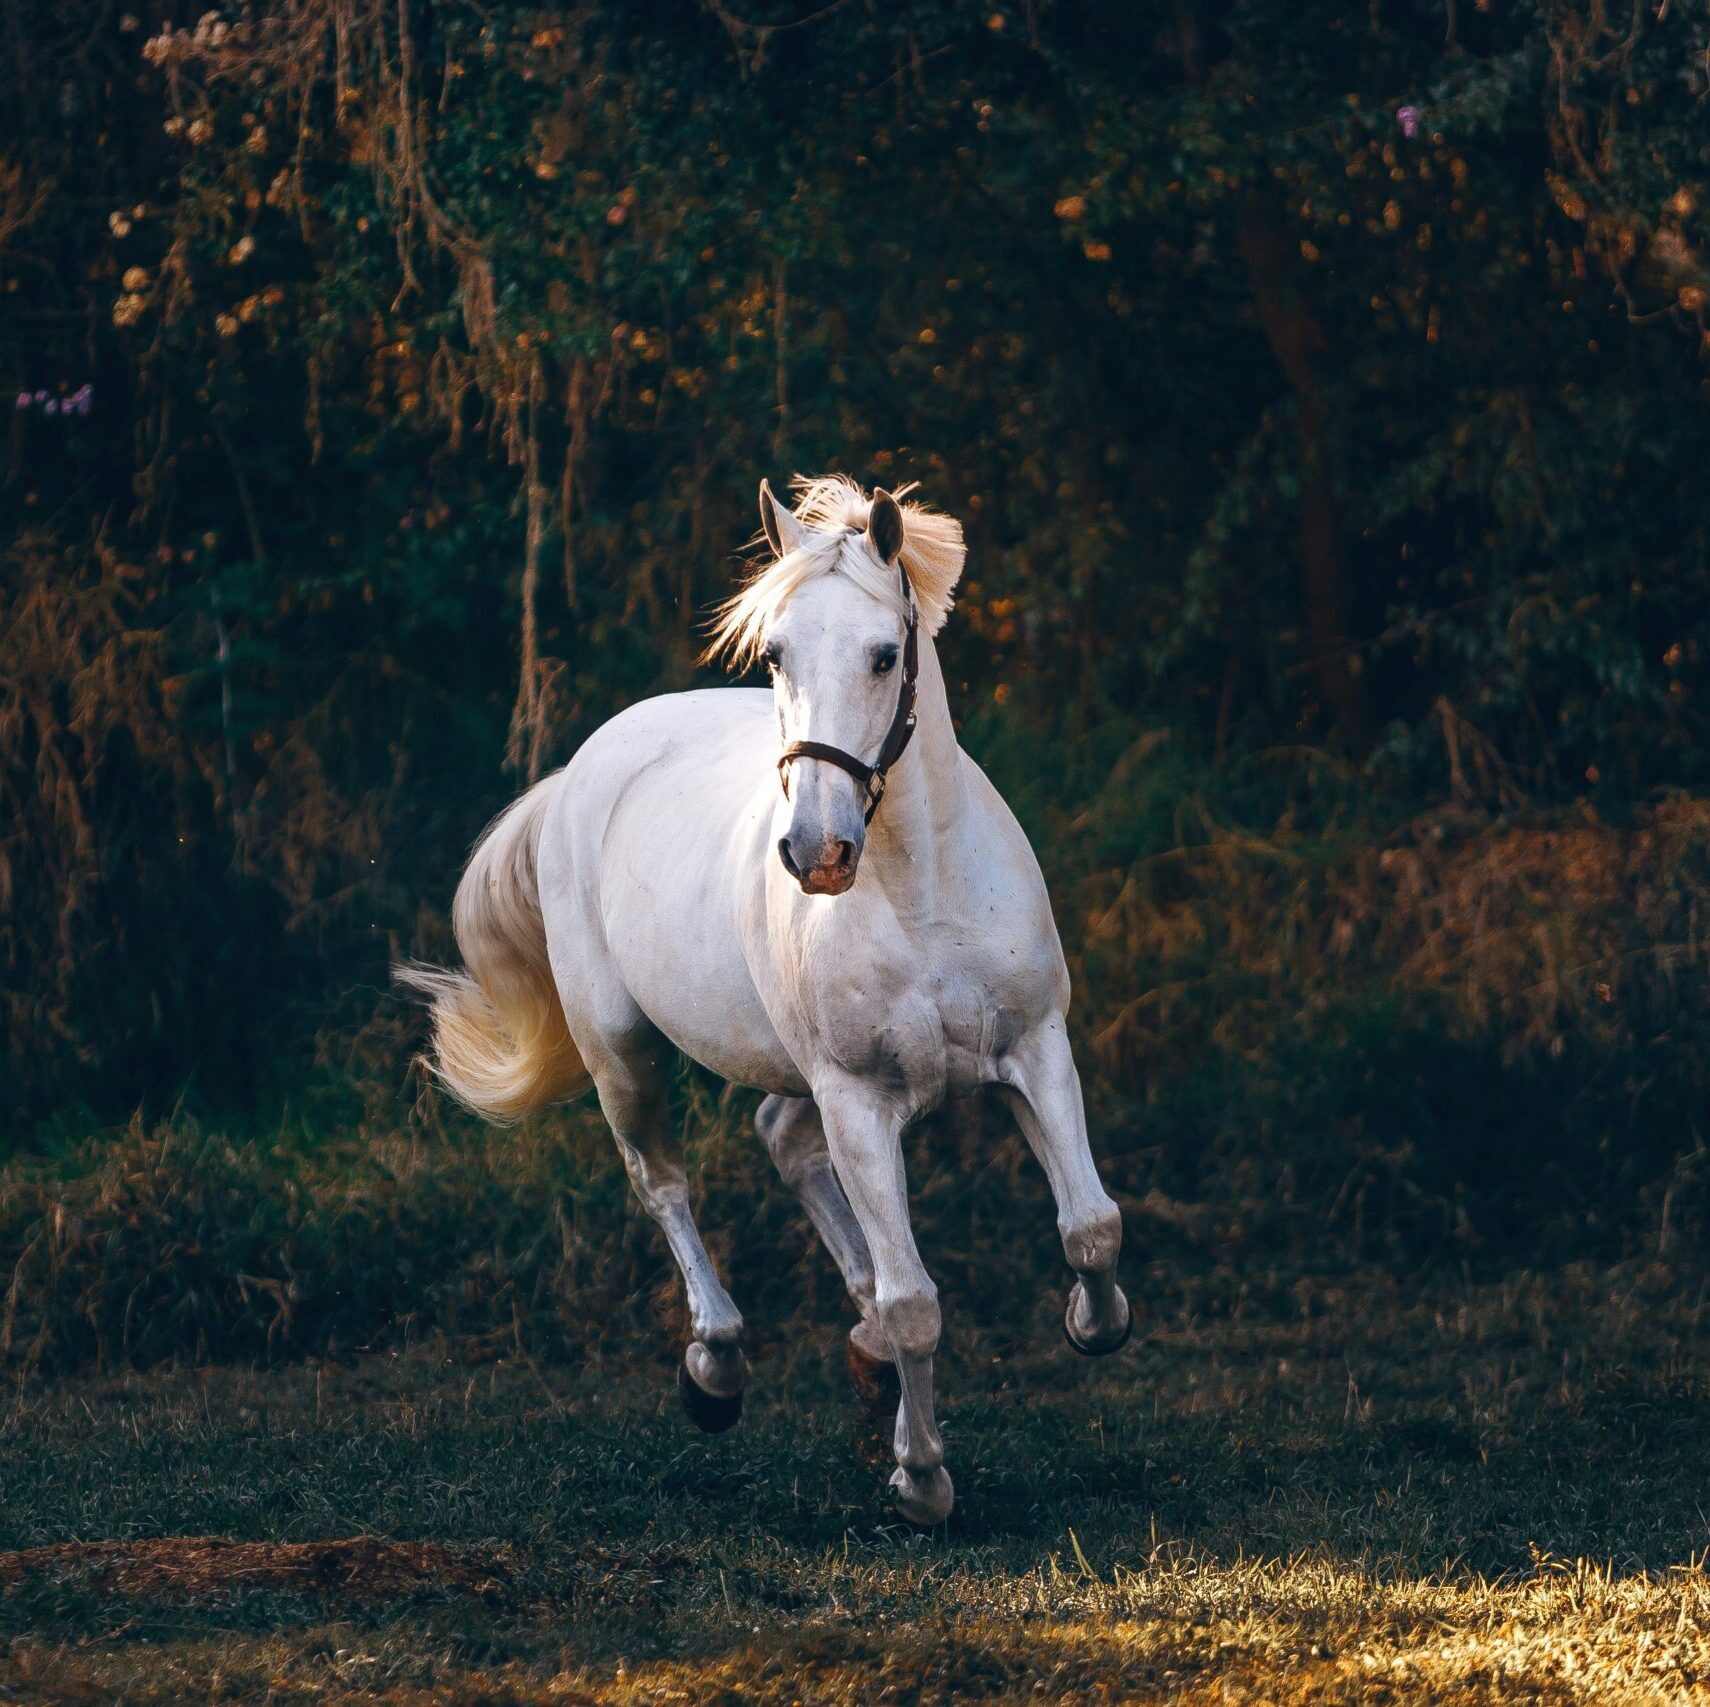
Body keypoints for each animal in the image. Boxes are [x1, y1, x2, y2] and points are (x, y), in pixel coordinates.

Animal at [401, 474, 1130, 1523]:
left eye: (884, 654)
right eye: (776, 653)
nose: (815, 852)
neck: (923, 892)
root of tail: (583, 769)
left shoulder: (1035, 1050)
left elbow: (1090, 1227)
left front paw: (1085, 1321)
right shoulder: (859, 1099)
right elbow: (916, 1302)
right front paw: (921, 1479)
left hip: (793, 1069)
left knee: (781, 1139)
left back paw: (856, 1349)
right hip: (622, 1050)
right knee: (663, 1182)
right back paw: (716, 1367)